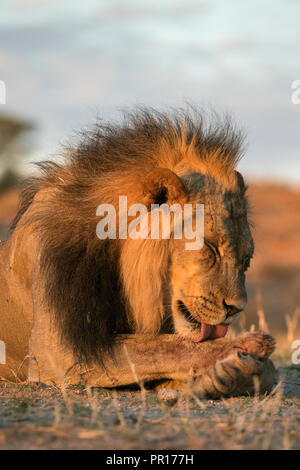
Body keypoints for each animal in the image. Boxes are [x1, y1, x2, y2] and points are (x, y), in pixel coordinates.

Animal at [0, 107, 276, 396]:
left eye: (246, 260)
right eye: (210, 247)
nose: (236, 309)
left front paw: (230, 375)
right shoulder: (58, 352)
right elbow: (163, 346)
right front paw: (244, 348)